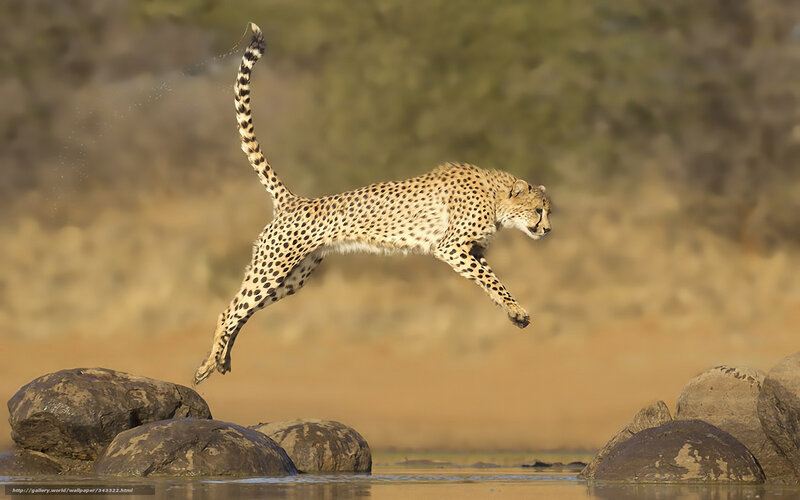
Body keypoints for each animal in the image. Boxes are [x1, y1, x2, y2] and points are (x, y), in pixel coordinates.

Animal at [194, 23, 552, 385]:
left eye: (548, 211)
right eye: (538, 210)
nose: (547, 229)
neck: (496, 196)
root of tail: (294, 200)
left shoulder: (471, 251)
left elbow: (490, 279)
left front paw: (513, 313)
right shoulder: (449, 247)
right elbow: (491, 279)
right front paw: (517, 310)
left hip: (293, 277)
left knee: (243, 312)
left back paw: (218, 362)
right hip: (273, 267)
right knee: (229, 311)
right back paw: (210, 363)